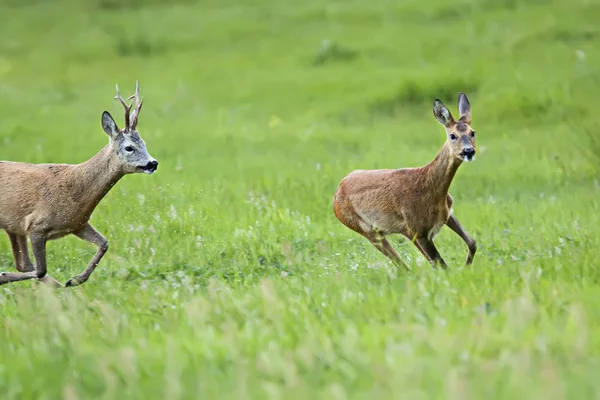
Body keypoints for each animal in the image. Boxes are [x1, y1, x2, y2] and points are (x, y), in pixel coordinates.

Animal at [0, 81, 158, 288]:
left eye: (145, 144)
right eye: (129, 147)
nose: (153, 163)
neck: (76, 191)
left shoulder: (77, 223)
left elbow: (104, 243)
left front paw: (75, 280)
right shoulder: (35, 226)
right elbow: (41, 270)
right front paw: (3, 275)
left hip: (13, 225)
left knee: (23, 263)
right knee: (27, 266)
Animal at [332, 92, 478, 270]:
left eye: (473, 132)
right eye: (452, 135)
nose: (468, 151)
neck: (432, 190)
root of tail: (335, 196)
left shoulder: (446, 215)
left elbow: (472, 243)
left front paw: (467, 267)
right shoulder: (419, 230)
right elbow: (443, 266)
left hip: (400, 231)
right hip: (366, 229)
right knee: (404, 267)